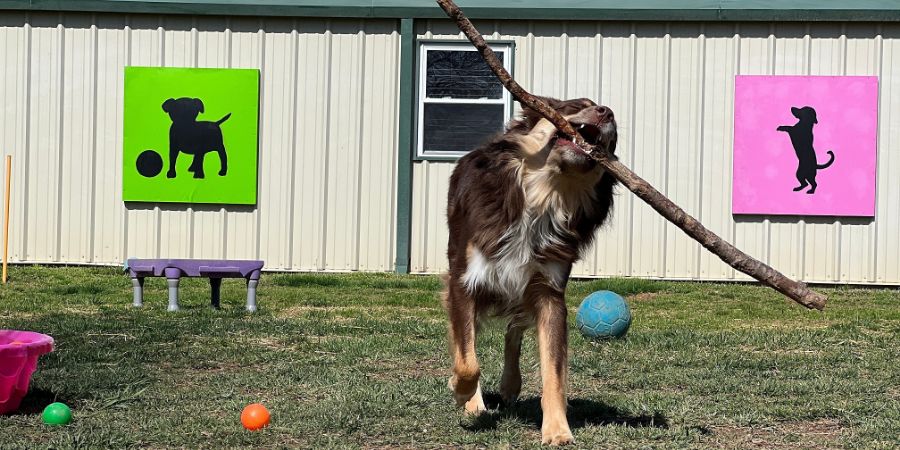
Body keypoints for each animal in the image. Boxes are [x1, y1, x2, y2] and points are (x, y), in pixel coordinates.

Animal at [442, 96, 620, 444]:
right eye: (576, 105)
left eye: (615, 139)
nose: (607, 111)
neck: (544, 195)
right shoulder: (464, 282)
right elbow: (467, 359)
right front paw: (462, 392)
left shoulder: (549, 293)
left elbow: (554, 372)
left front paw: (557, 429)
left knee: (515, 330)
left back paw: (510, 384)